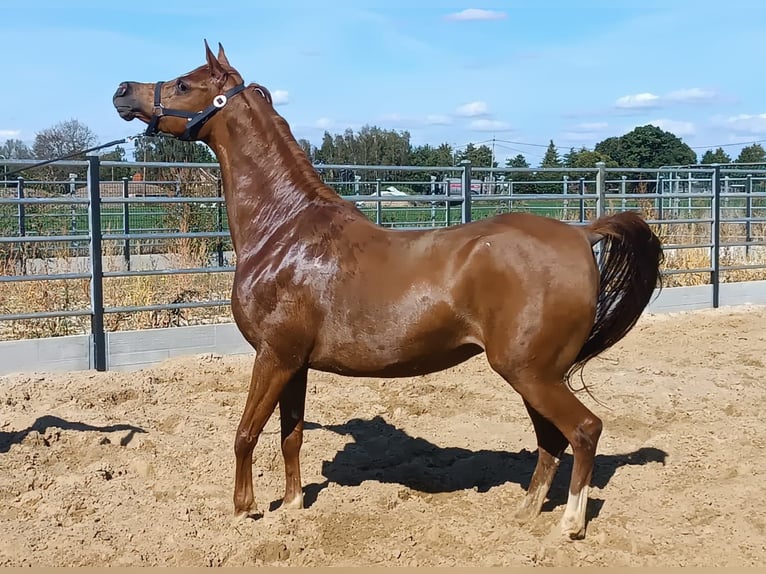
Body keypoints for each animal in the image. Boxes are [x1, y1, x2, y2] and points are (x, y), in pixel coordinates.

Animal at [113, 41, 663, 540]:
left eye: (184, 84)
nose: (122, 91)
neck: (284, 230)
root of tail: (582, 234)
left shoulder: (272, 356)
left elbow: (246, 434)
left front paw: (244, 509)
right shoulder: (294, 362)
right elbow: (291, 436)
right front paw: (292, 506)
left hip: (531, 372)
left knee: (583, 430)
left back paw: (570, 524)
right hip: (533, 374)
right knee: (551, 439)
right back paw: (525, 513)